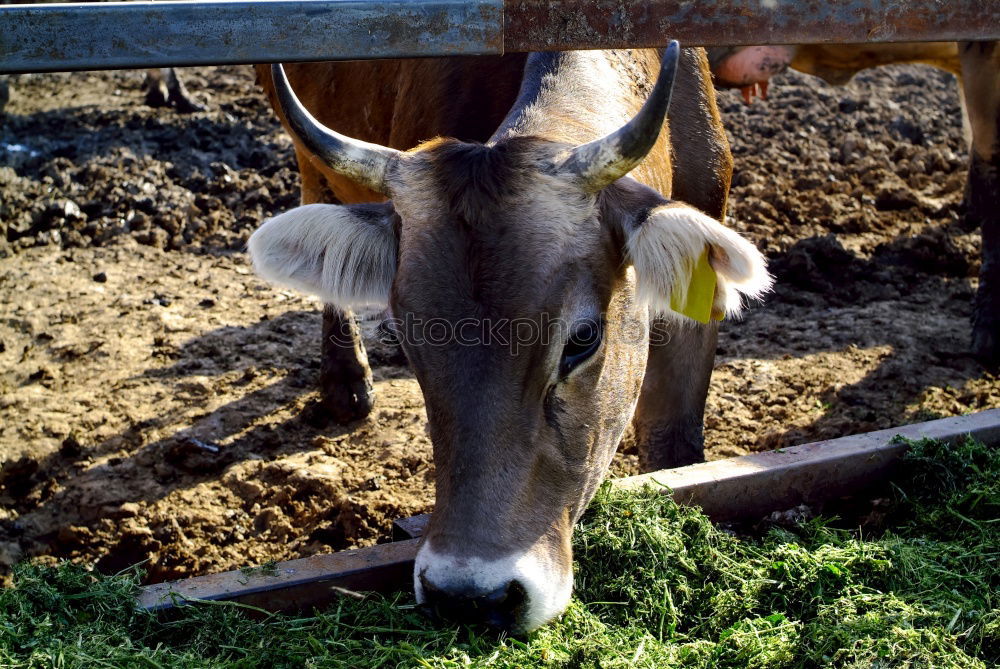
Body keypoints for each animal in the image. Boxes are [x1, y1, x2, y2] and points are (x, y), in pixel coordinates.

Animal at [248, 45, 772, 632]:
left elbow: (674, 448)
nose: (469, 596)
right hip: (306, 152)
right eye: (407, 338)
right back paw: (345, 381)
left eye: (583, 338)